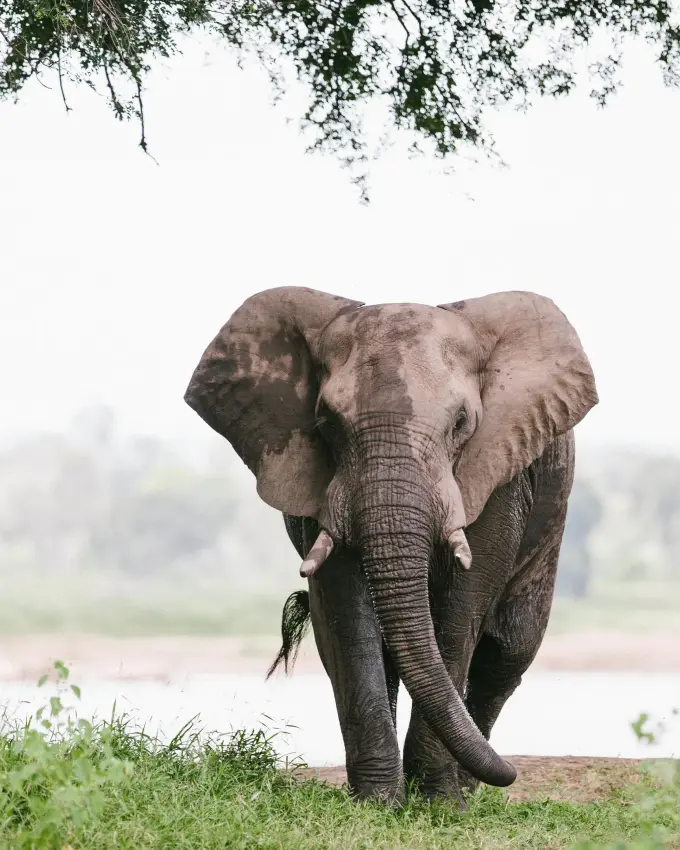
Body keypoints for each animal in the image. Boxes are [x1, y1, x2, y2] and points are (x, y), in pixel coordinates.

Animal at [183, 286, 598, 806]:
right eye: (326, 423)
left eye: (461, 422)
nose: (513, 772)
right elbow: (345, 615)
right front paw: (378, 803)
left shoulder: (498, 471)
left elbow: (461, 610)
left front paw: (441, 804)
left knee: (508, 652)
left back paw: (471, 785)